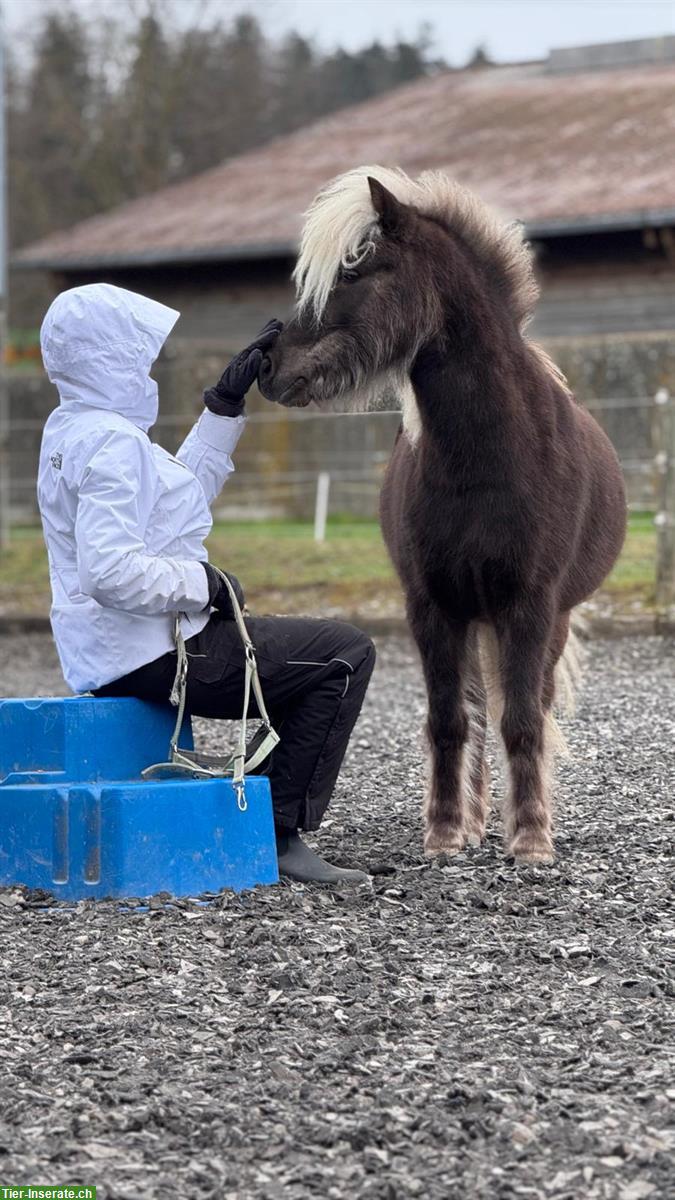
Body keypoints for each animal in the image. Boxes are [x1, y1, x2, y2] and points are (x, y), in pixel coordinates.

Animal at [258, 166, 626, 864]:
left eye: (355, 271)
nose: (268, 366)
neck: (488, 458)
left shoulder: (529, 606)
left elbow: (522, 720)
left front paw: (531, 840)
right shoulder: (432, 608)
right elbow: (450, 720)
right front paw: (447, 832)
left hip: (542, 620)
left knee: (527, 706)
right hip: (471, 618)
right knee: (477, 710)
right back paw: (479, 819)